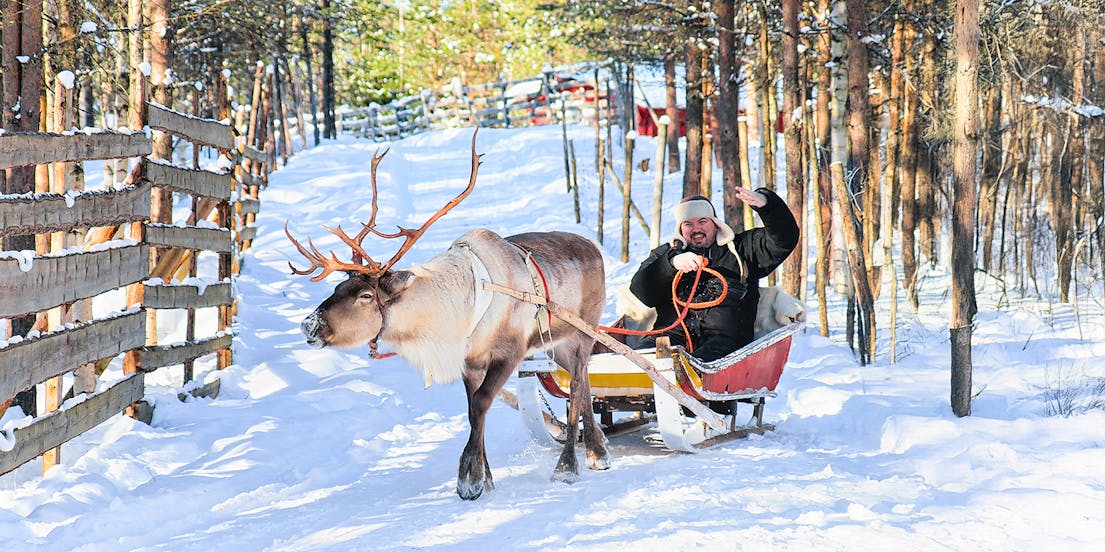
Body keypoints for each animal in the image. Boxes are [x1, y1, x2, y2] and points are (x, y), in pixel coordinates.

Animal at [285, 134, 610, 500]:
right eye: (339, 286)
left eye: (365, 296)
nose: (308, 324)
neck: (445, 318)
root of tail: (593, 246)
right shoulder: (470, 361)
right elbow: (473, 410)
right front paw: (486, 476)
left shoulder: (509, 352)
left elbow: (482, 402)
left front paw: (469, 478)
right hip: (557, 344)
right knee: (583, 380)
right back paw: (597, 448)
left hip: (583, 332)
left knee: (578, 384)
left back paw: (570, 464)